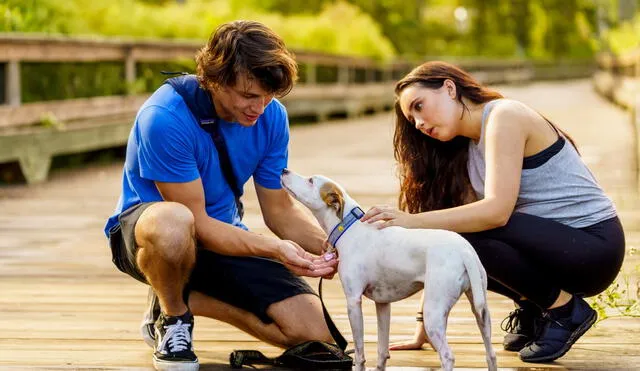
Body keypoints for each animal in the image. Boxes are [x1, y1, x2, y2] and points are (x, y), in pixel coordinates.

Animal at [282, 171, 498, 371]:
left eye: (311, 181)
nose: (284, 170)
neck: (348, 227)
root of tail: (464, 251)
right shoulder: (383, 303)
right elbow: (381, 351)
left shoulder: (353, 301)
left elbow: (359, 354)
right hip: (481, 312)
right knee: (491, 354)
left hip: (433, 314)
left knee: (447, 356)